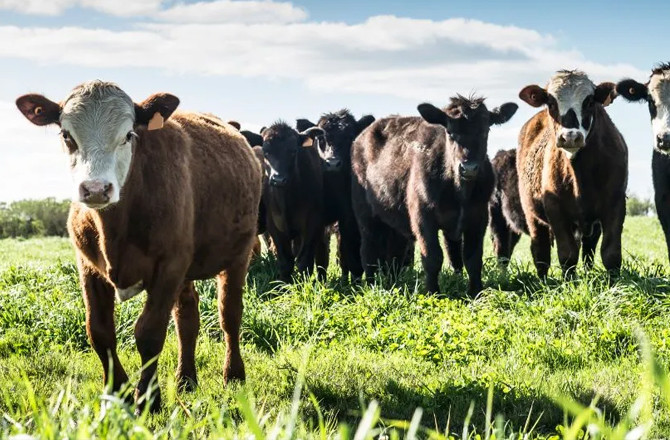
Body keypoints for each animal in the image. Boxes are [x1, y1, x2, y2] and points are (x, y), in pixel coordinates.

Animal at [15, 81, 262, 413]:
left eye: (129, 134)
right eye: (67, 135)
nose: (96, 189)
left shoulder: (169, 266)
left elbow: (149, 333)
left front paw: (148, 398)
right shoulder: (88, 267)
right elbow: (100, 331)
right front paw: (116, 393)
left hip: (239, 254)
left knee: (230, 315)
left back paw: (233, 375)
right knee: (187, 316)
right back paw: (186, 378)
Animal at [260, 122, 327, 281]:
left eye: (293, 151)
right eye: (266, 152)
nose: (278, 179)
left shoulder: (313, 223)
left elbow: (304, 261)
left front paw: (304, 284)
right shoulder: (274, 226)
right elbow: (285, 261)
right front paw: (285, 284)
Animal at [296, 110, 376, 281]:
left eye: (349, 137)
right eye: (321, 139)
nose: (332, 163)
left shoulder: (349, 218)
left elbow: (351, 255)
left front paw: (355, 282)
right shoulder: (316, 219)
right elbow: (317, 256)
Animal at [352, 95, 518, 295]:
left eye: (485, 130)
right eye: (450, 132)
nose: (468, 168)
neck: (458, 190)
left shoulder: (478, 218)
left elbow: (472, 258)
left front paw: (476, 292)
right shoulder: (423, 218)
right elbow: (432, 257)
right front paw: (433, 292)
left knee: (394, 253)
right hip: (365, 214)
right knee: (368, 250)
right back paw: (372, 285)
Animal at [517, 70, 626, 278]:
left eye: (589, 101)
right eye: (551, 103)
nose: (570, 136)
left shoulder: (615, 203)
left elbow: (611, 253)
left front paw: (615, 283)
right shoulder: (555, 209)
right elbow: (567, 254)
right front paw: (570, 282)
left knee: (588, 248)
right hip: (532, 216)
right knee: (540, 250)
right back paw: (542, 280)